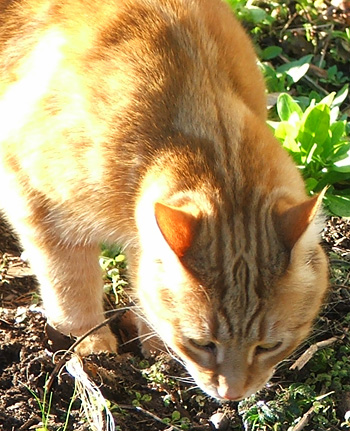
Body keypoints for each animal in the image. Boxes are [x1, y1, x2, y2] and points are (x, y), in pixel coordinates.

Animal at [0, 0, 328, 402]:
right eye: (201, 343)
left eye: (269, 346)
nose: (231, 394)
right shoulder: (36, 199)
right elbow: (71, 288)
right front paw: (92, 348)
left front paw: (155, 348)